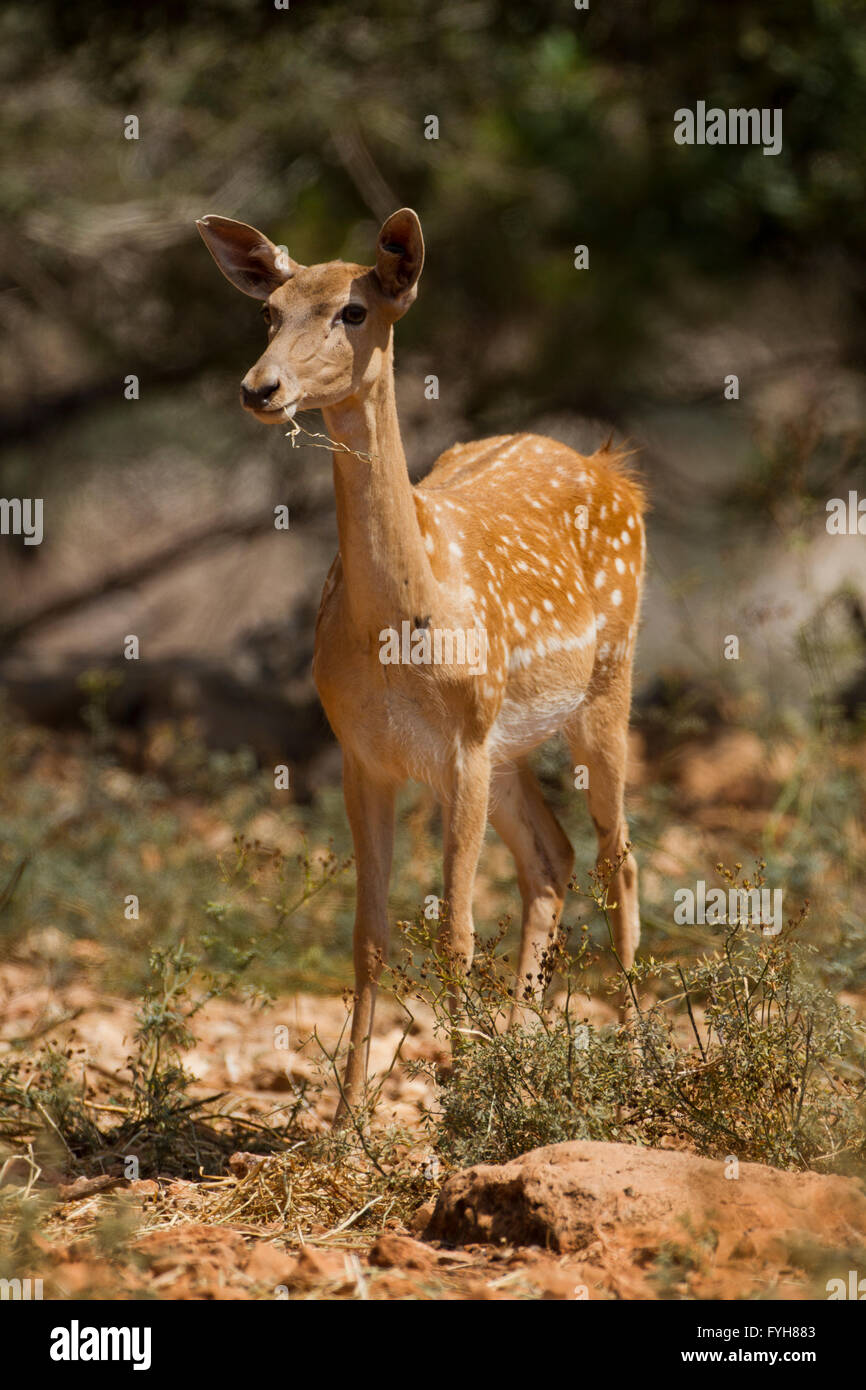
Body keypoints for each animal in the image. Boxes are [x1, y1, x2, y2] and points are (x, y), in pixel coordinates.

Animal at [195, 202, 644, 1117]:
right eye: (270, 312)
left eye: (353, 310)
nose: (260, 388)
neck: (400, 629)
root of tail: (612, 467)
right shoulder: (365, 753)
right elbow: (369, 936)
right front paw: (348, 1118)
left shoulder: (462, 746)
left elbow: (454, 933)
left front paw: (461, 1103)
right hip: (508, 740)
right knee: (553, 859)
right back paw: (522, 1048)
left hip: (601, 687)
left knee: (617, 855)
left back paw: (640, 1057)